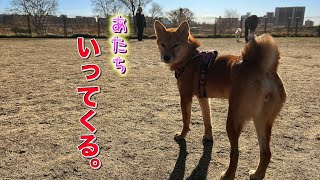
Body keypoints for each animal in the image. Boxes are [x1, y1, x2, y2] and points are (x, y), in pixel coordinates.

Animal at [154, 20, 286, 179]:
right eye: (162, 44)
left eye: (175, 45)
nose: (166, 57)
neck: (190, 59)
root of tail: (263, 68)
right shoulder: (203, 98)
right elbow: (207, 120)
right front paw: (208, 137)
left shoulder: (185, 97)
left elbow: (186, 121)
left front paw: (182, 135)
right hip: (261, 121)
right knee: (266, 153)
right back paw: (256, 174)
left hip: (233, 121)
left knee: (235, 153)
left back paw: (228, 174)